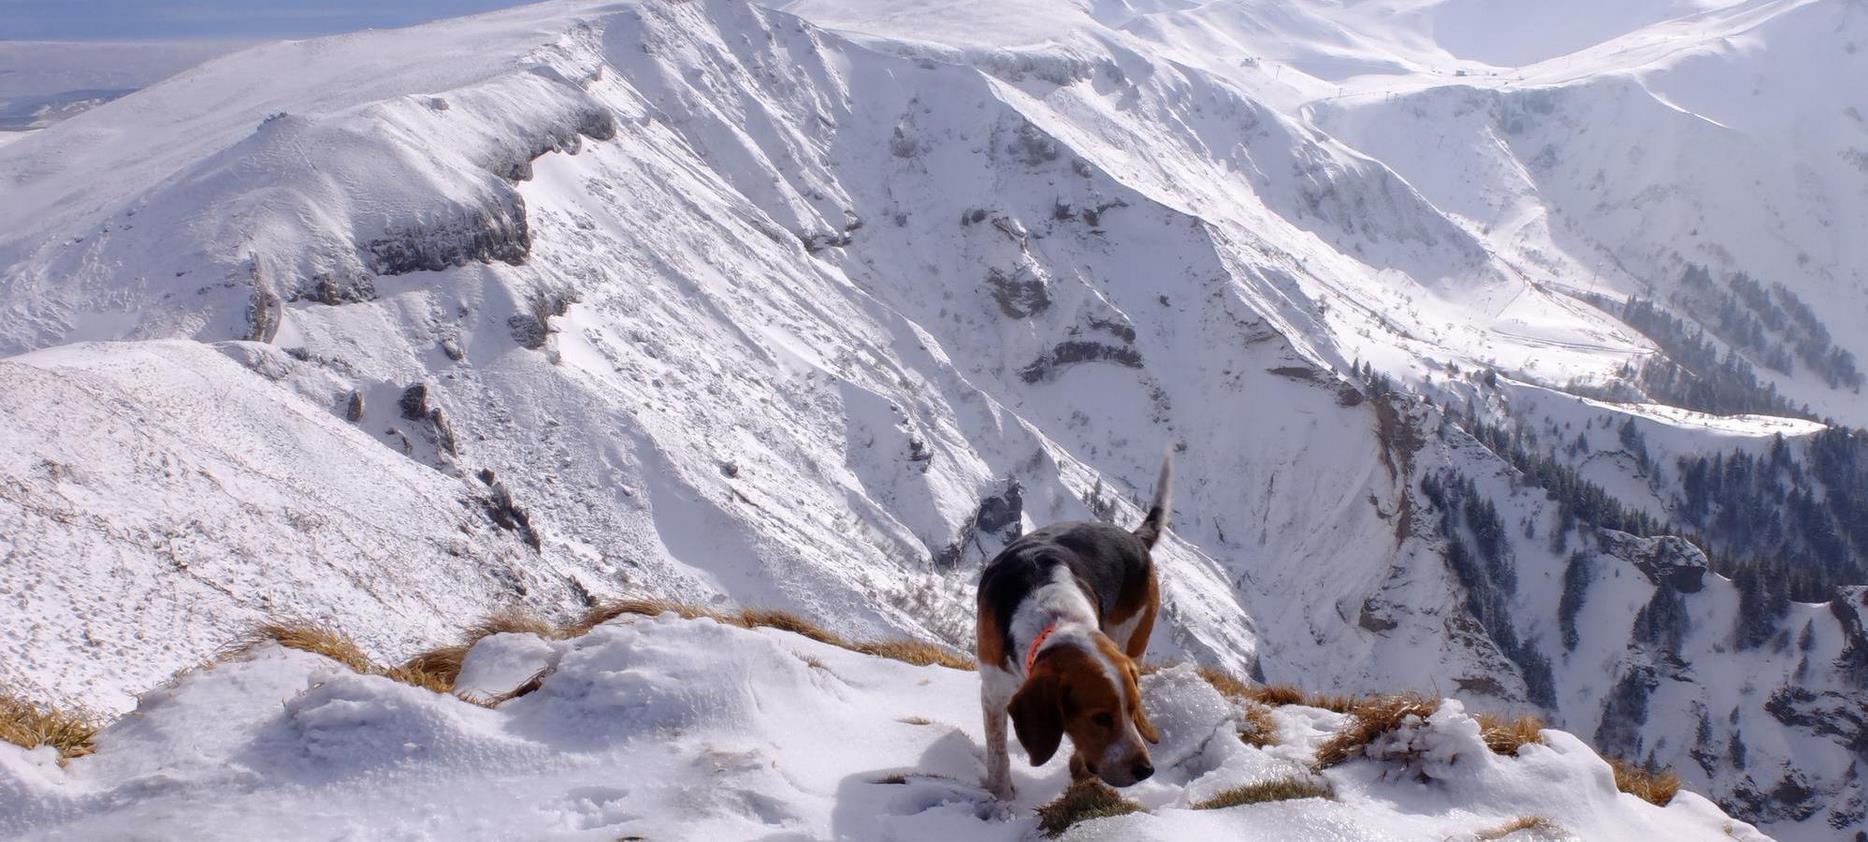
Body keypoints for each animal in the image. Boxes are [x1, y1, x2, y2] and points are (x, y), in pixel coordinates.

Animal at [978, 457, 1165, 802]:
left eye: (1133, 708)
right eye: (1100, 718)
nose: (1146, 771)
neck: (1055, 620)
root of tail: (1135, 537)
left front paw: (1080, 768)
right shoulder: (993, 690)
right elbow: (997, 753)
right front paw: (1001, 798)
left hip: (1134, 639)